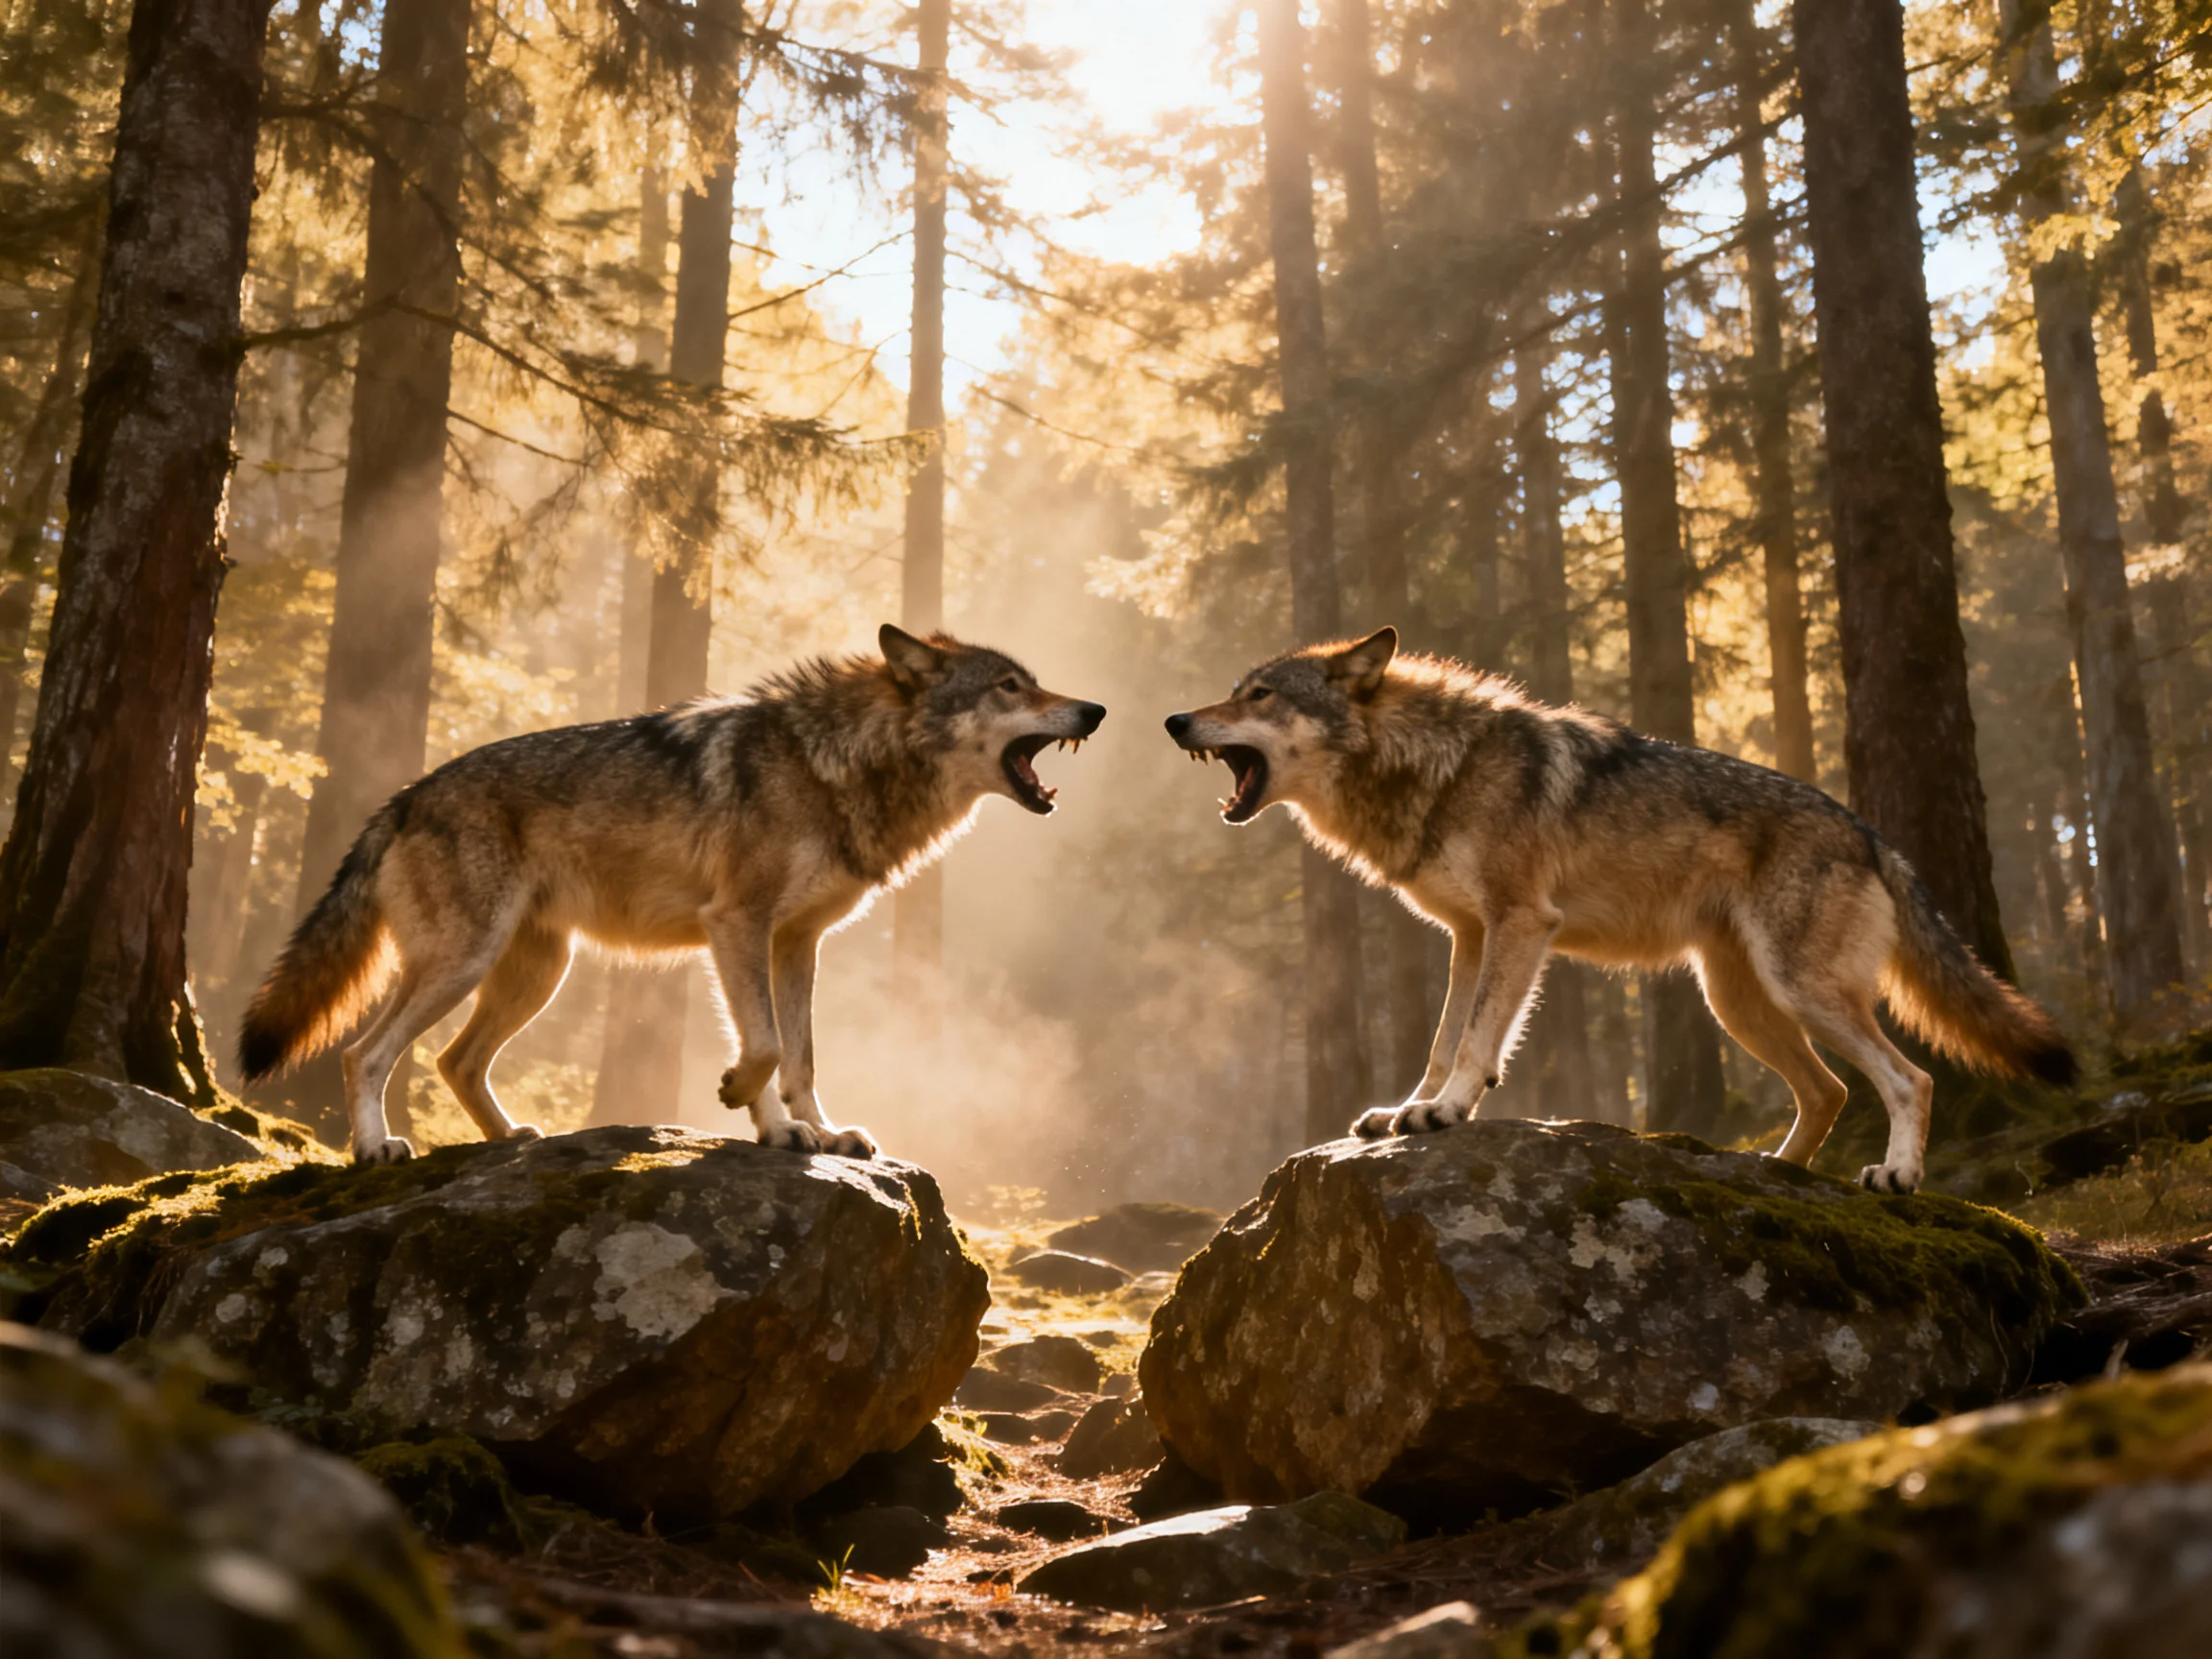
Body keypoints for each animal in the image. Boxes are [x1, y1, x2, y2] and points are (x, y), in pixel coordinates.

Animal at [240, 626, 1105, 1164]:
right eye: (1010, 686)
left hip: (536, 974)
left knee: (455, 1062)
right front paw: (761, 1116)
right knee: (365, 1053)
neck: (833, 764)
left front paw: (822, 1133)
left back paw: (511, 1140)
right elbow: (764, 1045)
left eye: (1032, 683)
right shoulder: (737, 924)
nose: (1095, 708)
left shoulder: (798, 943)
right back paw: (375, 1149)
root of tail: (403, 796)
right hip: (464, 962)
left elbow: (803, 1057)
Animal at [1165, 628, 2073, 1193]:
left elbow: (1476, 1040)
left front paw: (1446, 1112)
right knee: (1827, 1093)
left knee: (1909, 1078)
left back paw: (1897, 1177)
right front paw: (1405, 1111)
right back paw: (1774, 1175)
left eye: (1258, 694)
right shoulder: (1469, 934)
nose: (1174, 718)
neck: (1433, 765)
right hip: (1738, 1003)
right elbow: (1443, 1038)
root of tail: (1873, 835)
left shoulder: (1521, 922)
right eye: (1234, 692)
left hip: (1800, 993)